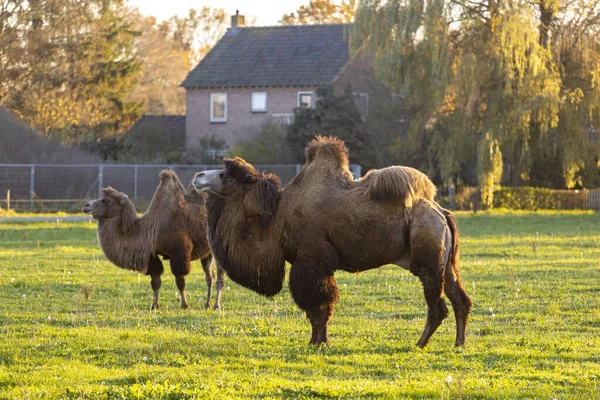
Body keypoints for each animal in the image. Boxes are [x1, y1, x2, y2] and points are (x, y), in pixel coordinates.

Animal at [82, 170, 225, 310]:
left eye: (106, 201)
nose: (86, 205)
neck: (154, 228)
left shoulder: (180, 252)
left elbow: (180, 281)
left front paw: (185, 304)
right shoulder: (152, 255)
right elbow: (155, 281)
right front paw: (154, 305)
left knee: (219, 277)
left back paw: (216, 305)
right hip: (207, 253)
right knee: (209, 276)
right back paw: (207, 304)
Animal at [195, 137, 472, 346]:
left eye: (225, 175)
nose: (198, 176)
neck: (276, 219)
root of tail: (442, 212)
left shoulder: (311, 260)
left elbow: (319, 306)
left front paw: (320, 342)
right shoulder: (312, 264)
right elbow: (316, 309)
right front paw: (314, 342)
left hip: (428, 260)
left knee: (438, 307)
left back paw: (420, 344)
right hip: (445, 263)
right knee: (460, 299)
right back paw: (458, 343)